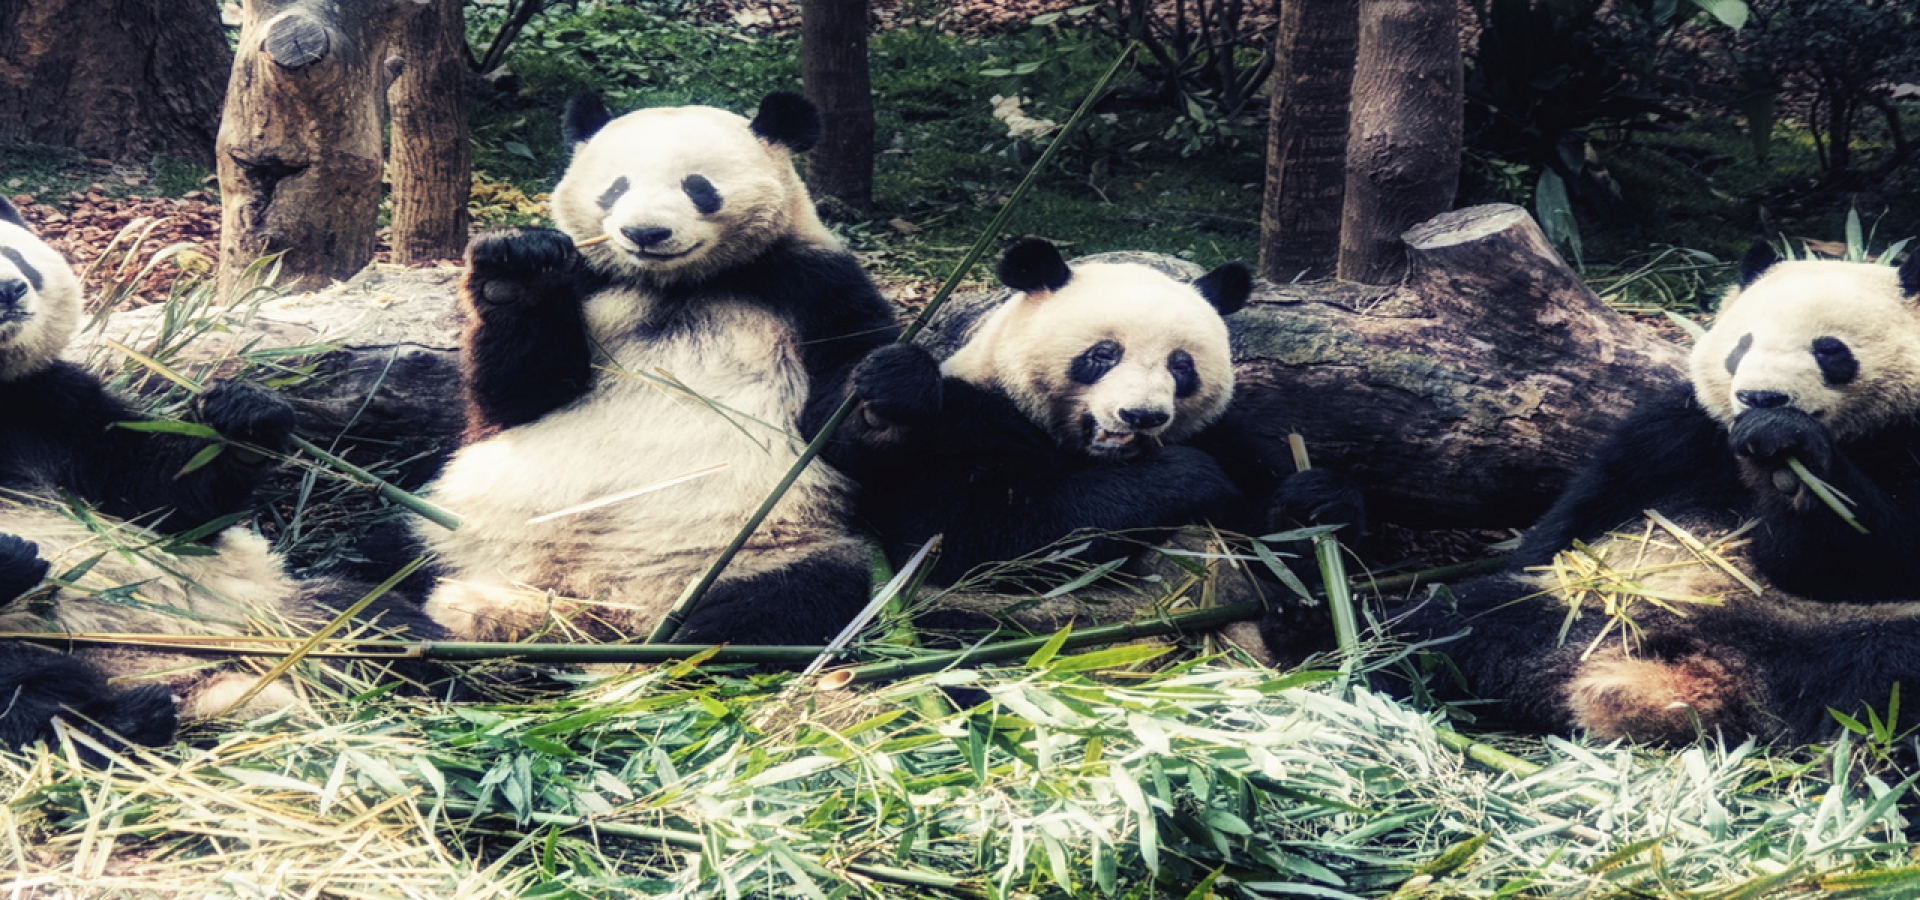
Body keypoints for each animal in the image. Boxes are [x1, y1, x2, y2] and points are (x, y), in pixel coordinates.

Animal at [0, 195, 445, 752]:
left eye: (16, 255)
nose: (9, 291)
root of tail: (195, 676)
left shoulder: (50, 408)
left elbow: (158, 498)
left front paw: (246, 417)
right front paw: (13, 556)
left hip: (268, 609)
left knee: (375, 620)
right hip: (58, 642)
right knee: (28, 693)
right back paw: (124, 718)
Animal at [413, 91, 900, 646]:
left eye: (699, 187)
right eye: (616, 187)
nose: (644, 232)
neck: (677, 284)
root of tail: (596, 607)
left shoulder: (813, 284)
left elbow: (837, 420)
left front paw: (882, 396)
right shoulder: (589, 281)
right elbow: (521, 392)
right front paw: (515, 270)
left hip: (761, 550)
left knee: (789, 601)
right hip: (451, 530)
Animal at [834, 236, 1361, 588]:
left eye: (1181, 364)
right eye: (1104, 354)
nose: (1142, 416)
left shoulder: (1219, 431)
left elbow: (1269, 541)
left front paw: (1315, 501)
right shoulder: (973, 420)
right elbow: (982, 533)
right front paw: (1186, 476)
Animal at [1398, 244, 1920, 744]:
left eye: (1830, 351)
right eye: (1742, 345)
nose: (1760, 398)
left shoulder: (1906, 436)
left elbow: (1866, 561)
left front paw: (1788, 459)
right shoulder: (1680, 429)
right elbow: (1581, 515)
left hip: (1828, 633)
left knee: (1884, 666)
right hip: (1588, 611)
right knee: (1457, 619)